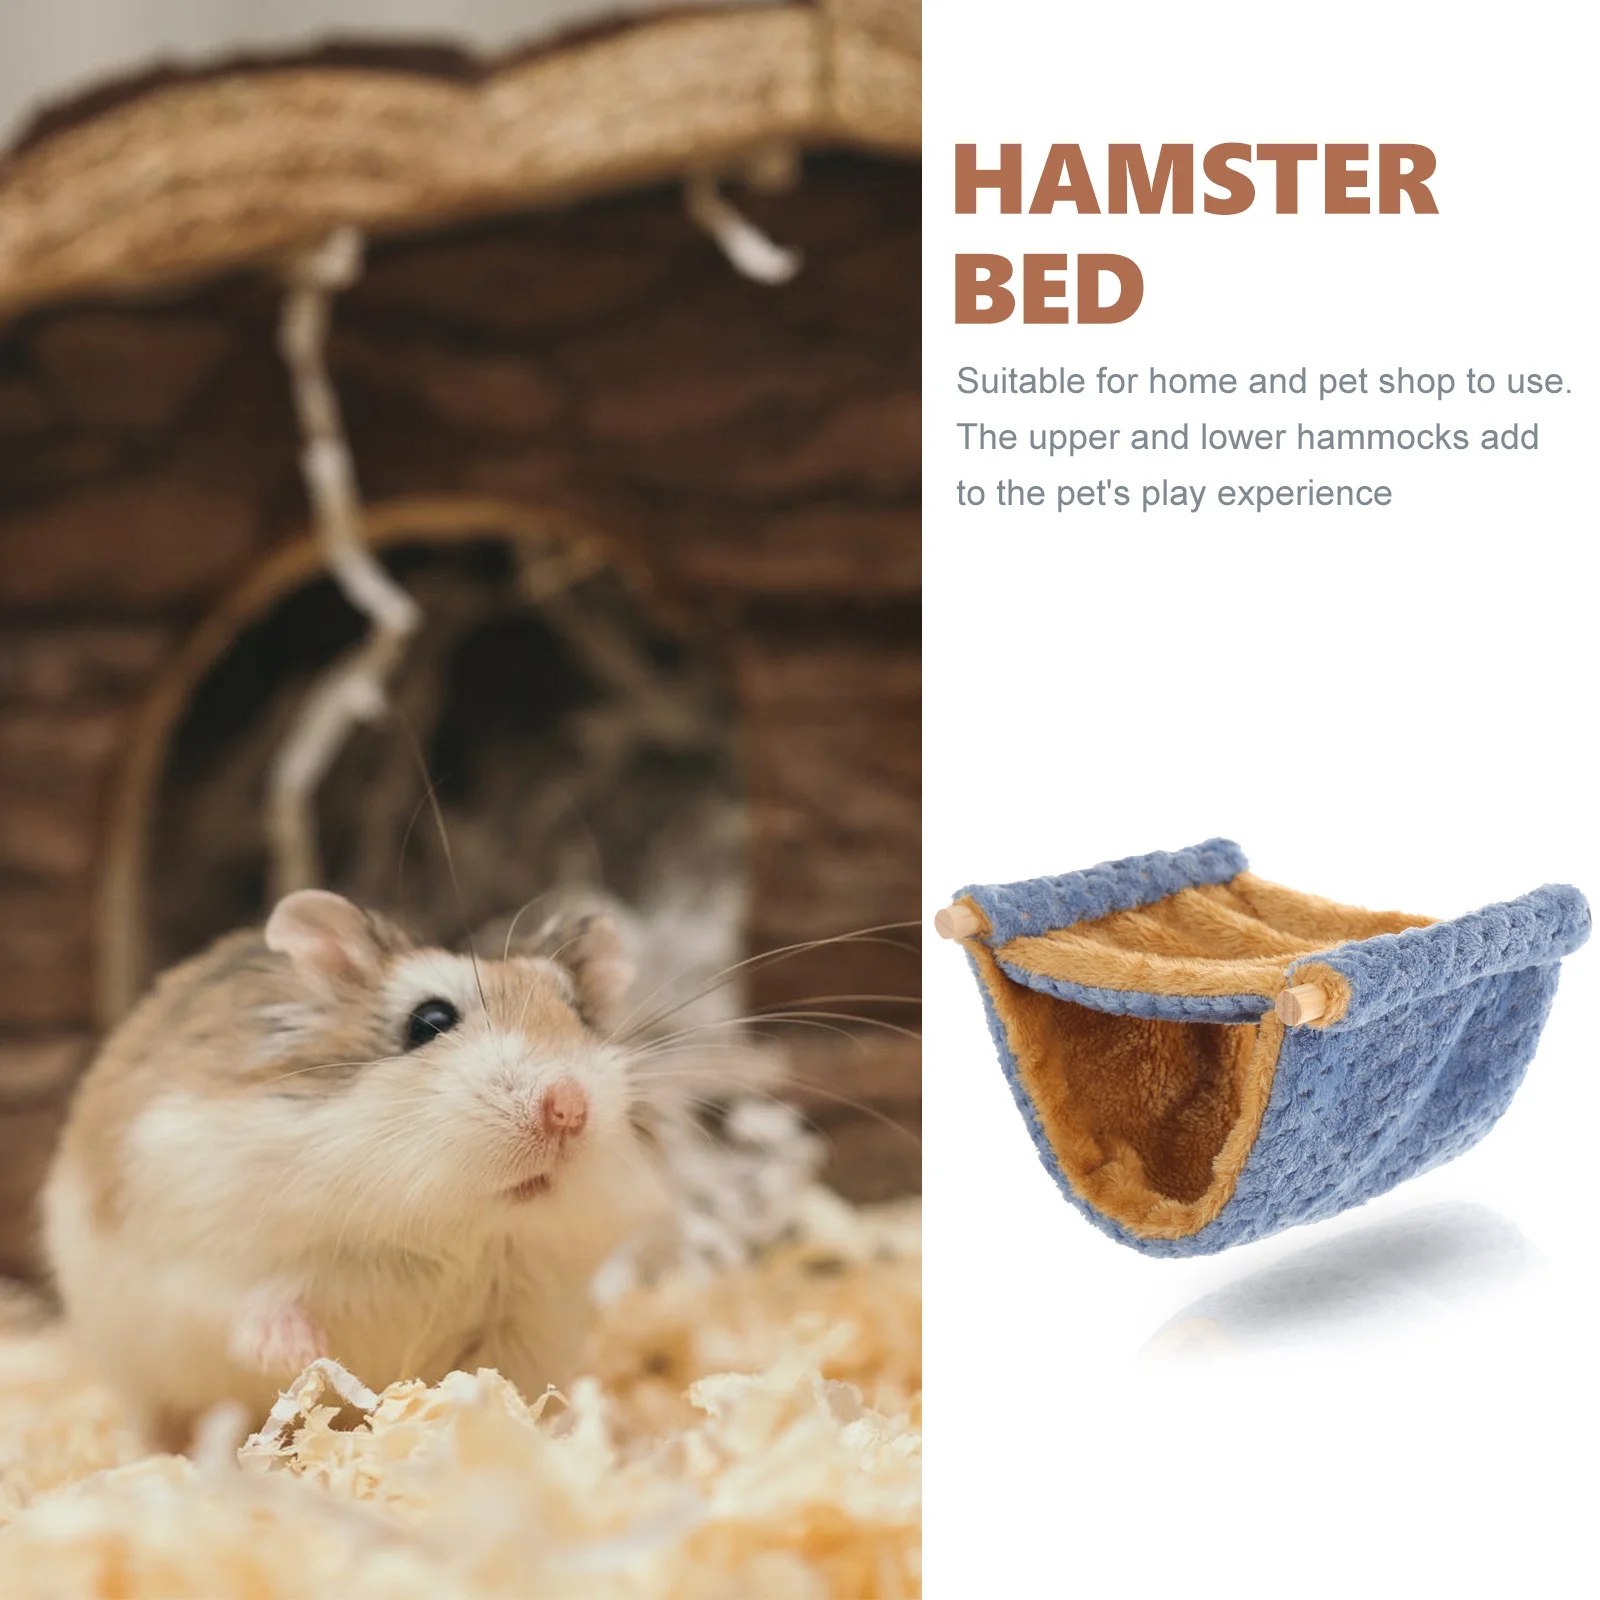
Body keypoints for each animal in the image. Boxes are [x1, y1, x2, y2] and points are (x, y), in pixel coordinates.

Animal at [42, 889, 667, 1452]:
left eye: (580, 1016)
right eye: (429, 1020)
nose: (569, 1108)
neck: (449, 1229)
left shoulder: (525, 1320)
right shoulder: (203, 1256)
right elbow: (250, 1307)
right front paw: (304, 1355)